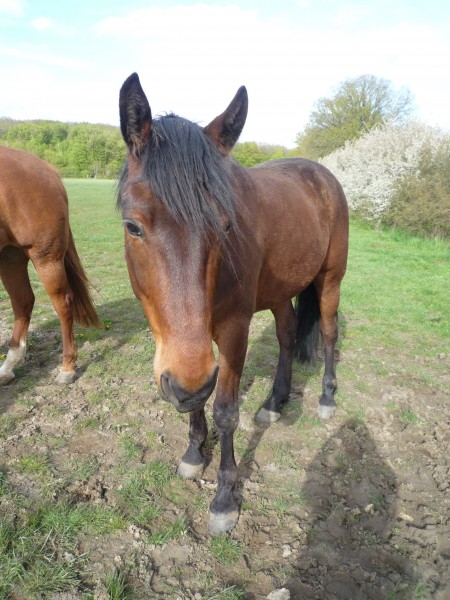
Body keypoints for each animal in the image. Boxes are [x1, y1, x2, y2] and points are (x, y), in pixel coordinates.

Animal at [0, 146, 99, 385]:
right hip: (10, 255)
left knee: (62, 303)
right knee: (23, 301)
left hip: (45, 258)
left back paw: (67, 367)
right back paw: (8, 367)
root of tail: (47, 169)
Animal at [118, 73, 349, 534]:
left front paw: (225, 497)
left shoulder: (233, 329)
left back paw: (326, 399)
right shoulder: (186, 347)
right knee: (287, 335)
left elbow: (225, 409)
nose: (182, 385)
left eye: (225, 225)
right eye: (132, 226)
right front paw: (193, 455)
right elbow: (199, 398)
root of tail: (322, 174)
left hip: (330, 281)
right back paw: (274, 404)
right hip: (279, 292)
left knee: (329, 333)